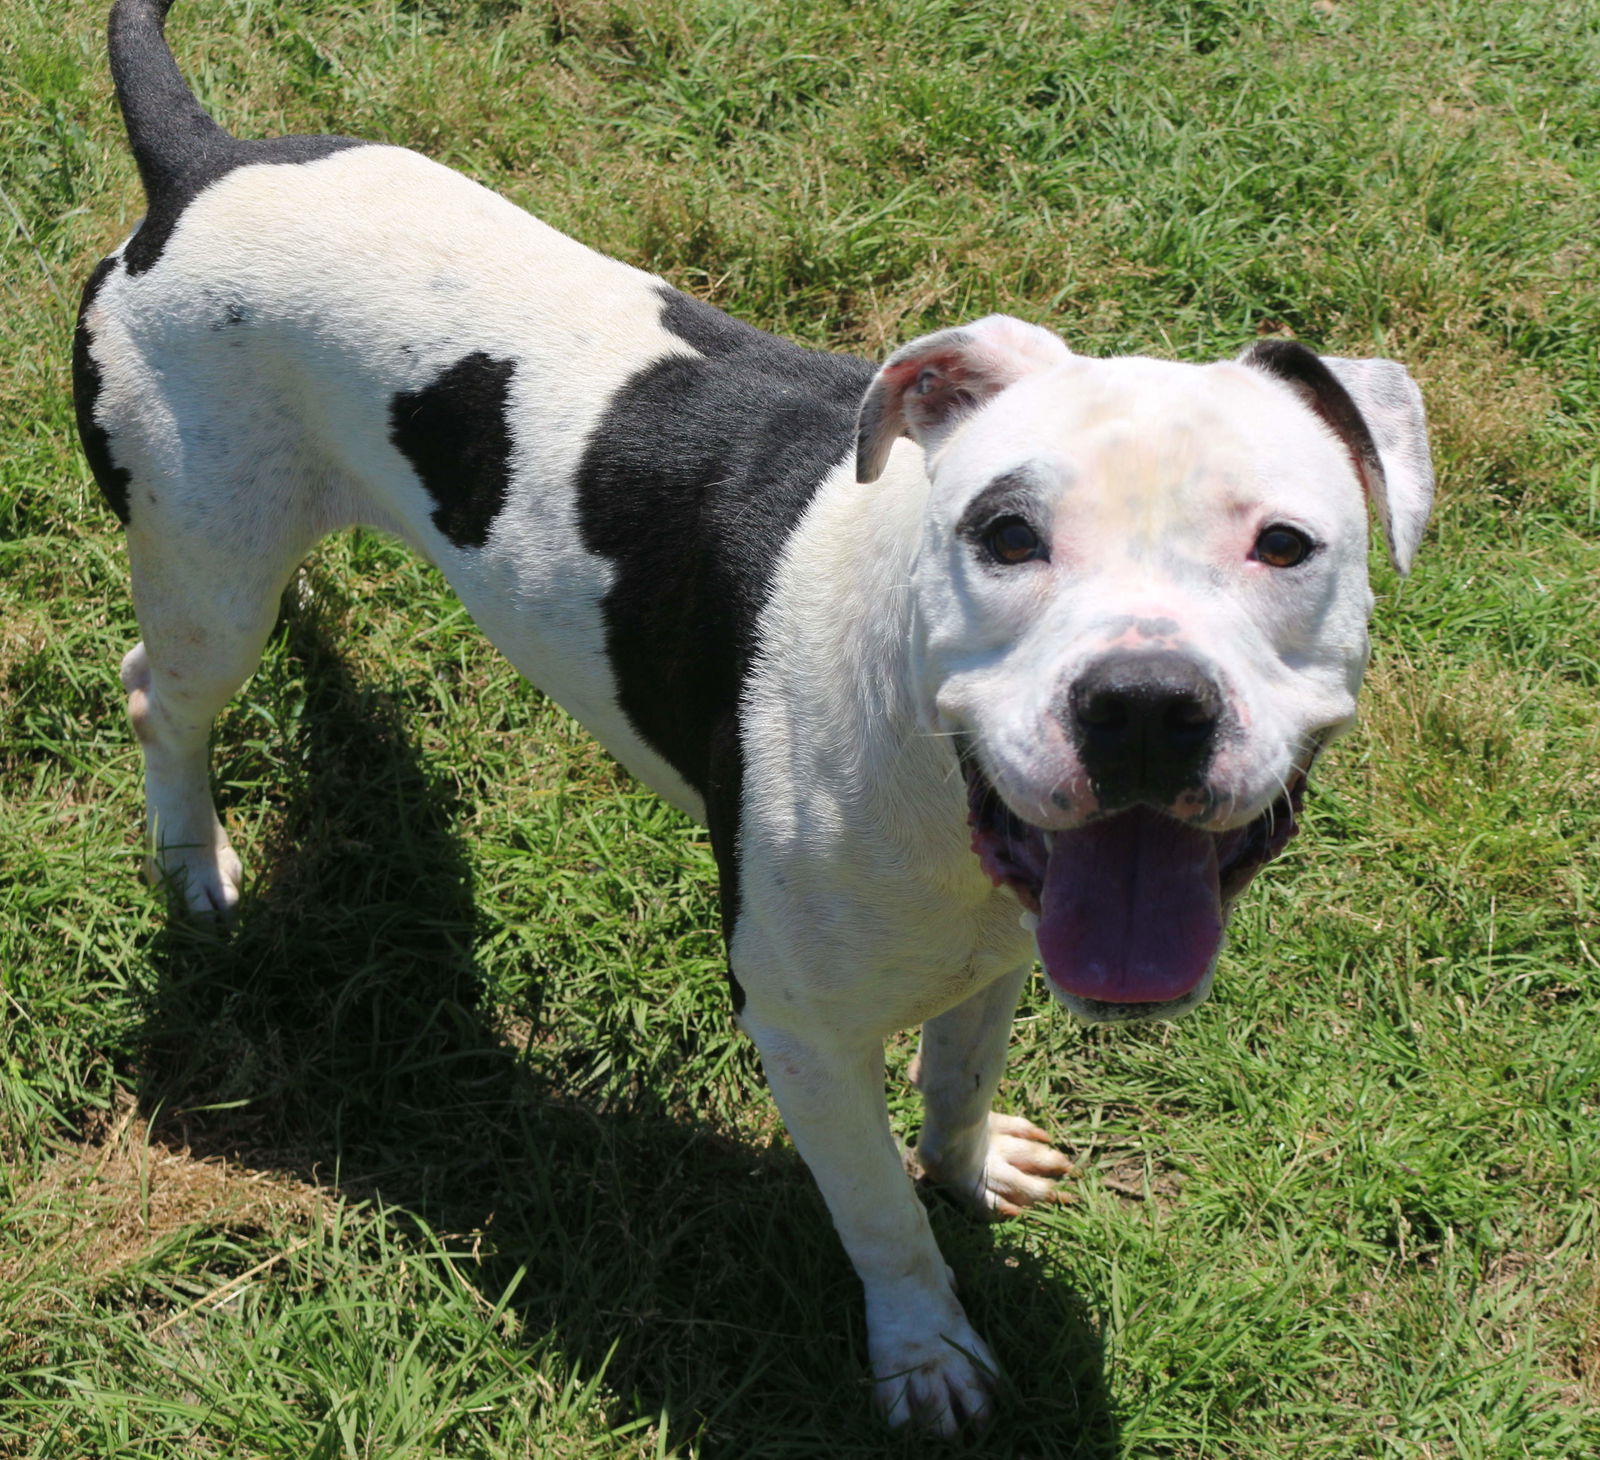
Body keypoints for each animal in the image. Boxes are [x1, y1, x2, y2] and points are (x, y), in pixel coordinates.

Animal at [75, 0, 1433, 1434]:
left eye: (1284, 544)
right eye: (1005, 533)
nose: (1145, 706)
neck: (928, 780)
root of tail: (200, 165)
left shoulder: (1003, 943)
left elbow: (958, 1077)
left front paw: (968, 1164)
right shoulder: (801, 1029)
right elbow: (881, 1212)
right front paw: (923, 1348)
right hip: (209, 574)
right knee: (160, 691)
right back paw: (194, 859)